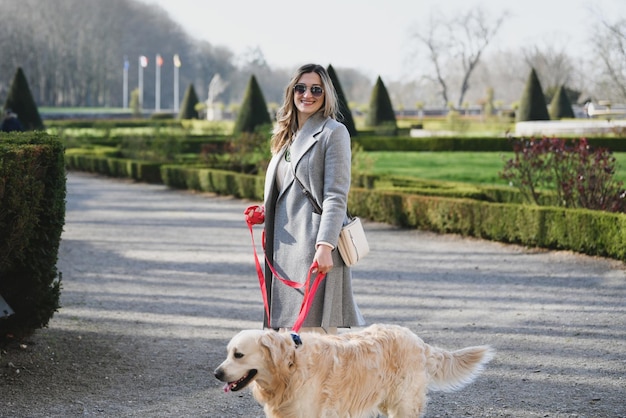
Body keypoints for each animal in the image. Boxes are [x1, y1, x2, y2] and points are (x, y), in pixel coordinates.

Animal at [214, 324, 492, 418]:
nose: (216, 374)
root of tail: (419, 341)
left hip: (404, 403)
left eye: (238, 354)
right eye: (227, 352)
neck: (291, 366)